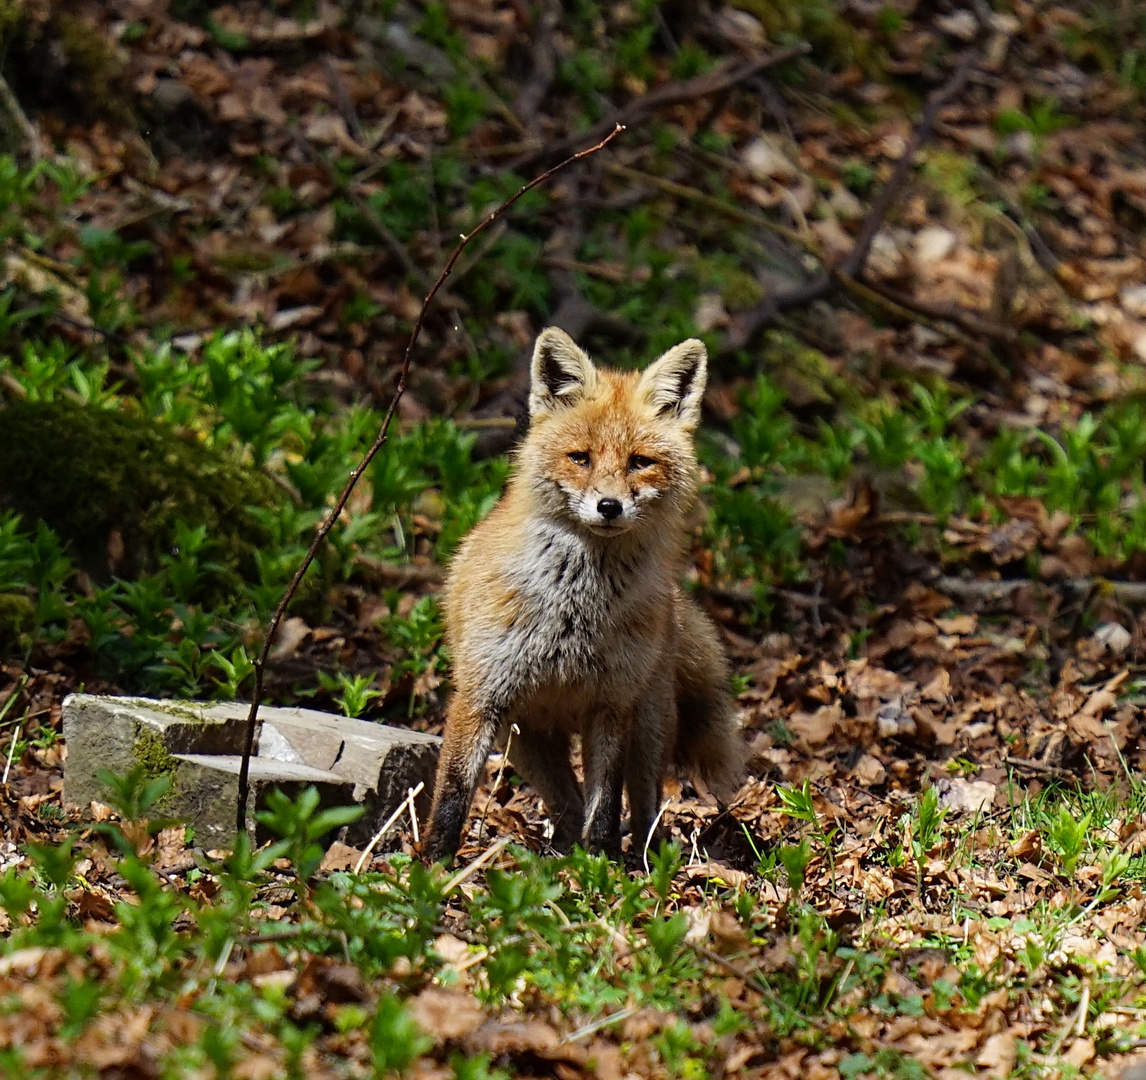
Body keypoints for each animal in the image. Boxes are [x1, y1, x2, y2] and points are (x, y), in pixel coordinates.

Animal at [426, 325, 747, 866]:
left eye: (640, 463)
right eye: (581, 458)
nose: (609, 506)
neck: (574, 615)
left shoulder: (611, 703)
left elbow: (606, 801)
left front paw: (600, 864)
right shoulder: (481, 693)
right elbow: (453, 790)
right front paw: (429, 864)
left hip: (649, 722)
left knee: (641, 801)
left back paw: (641, 859)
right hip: (527, 742)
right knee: (566, 802)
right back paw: (558, 853)